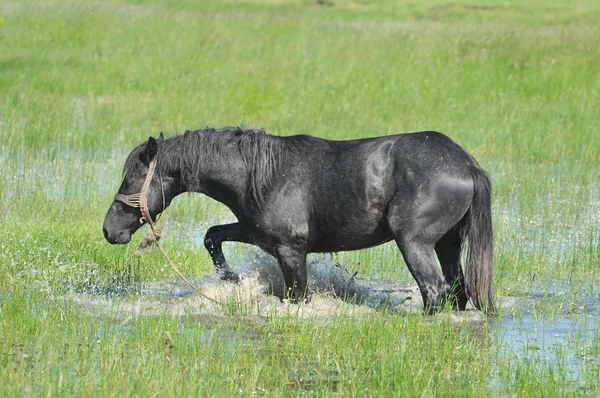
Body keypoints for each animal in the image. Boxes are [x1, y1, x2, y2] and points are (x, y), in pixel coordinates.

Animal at [103, 127, 494, 314]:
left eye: (132, 178)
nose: (109, 230)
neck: (262, 175)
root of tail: (466, 164)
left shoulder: (291, 251)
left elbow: (298, 296)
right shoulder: (257, 234)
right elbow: (212, 236)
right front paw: (231, 280)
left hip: (414, 243)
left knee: (435, 290)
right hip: (447, 244)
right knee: (457, 290)